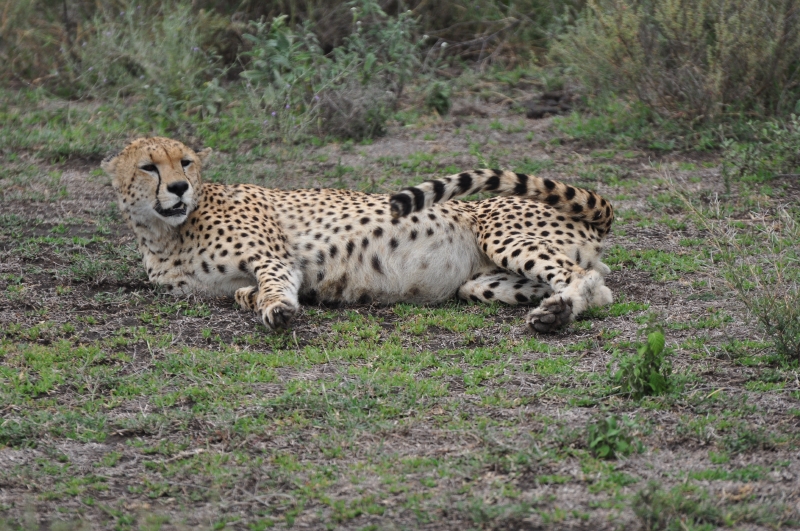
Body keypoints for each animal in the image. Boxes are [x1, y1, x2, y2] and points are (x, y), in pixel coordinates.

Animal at [102, 137, 615, 333]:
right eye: (149, 167)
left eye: (185, 162)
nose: (179, 187)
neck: (167, 234)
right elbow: (240, 293)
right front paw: (258, 301)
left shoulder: (275, 258)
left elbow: (273, 284)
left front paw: (276, 309)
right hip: (478, 284)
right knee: (591, 285)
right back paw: (553, 310)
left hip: (500, 232)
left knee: (585, 279)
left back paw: (556, 315)